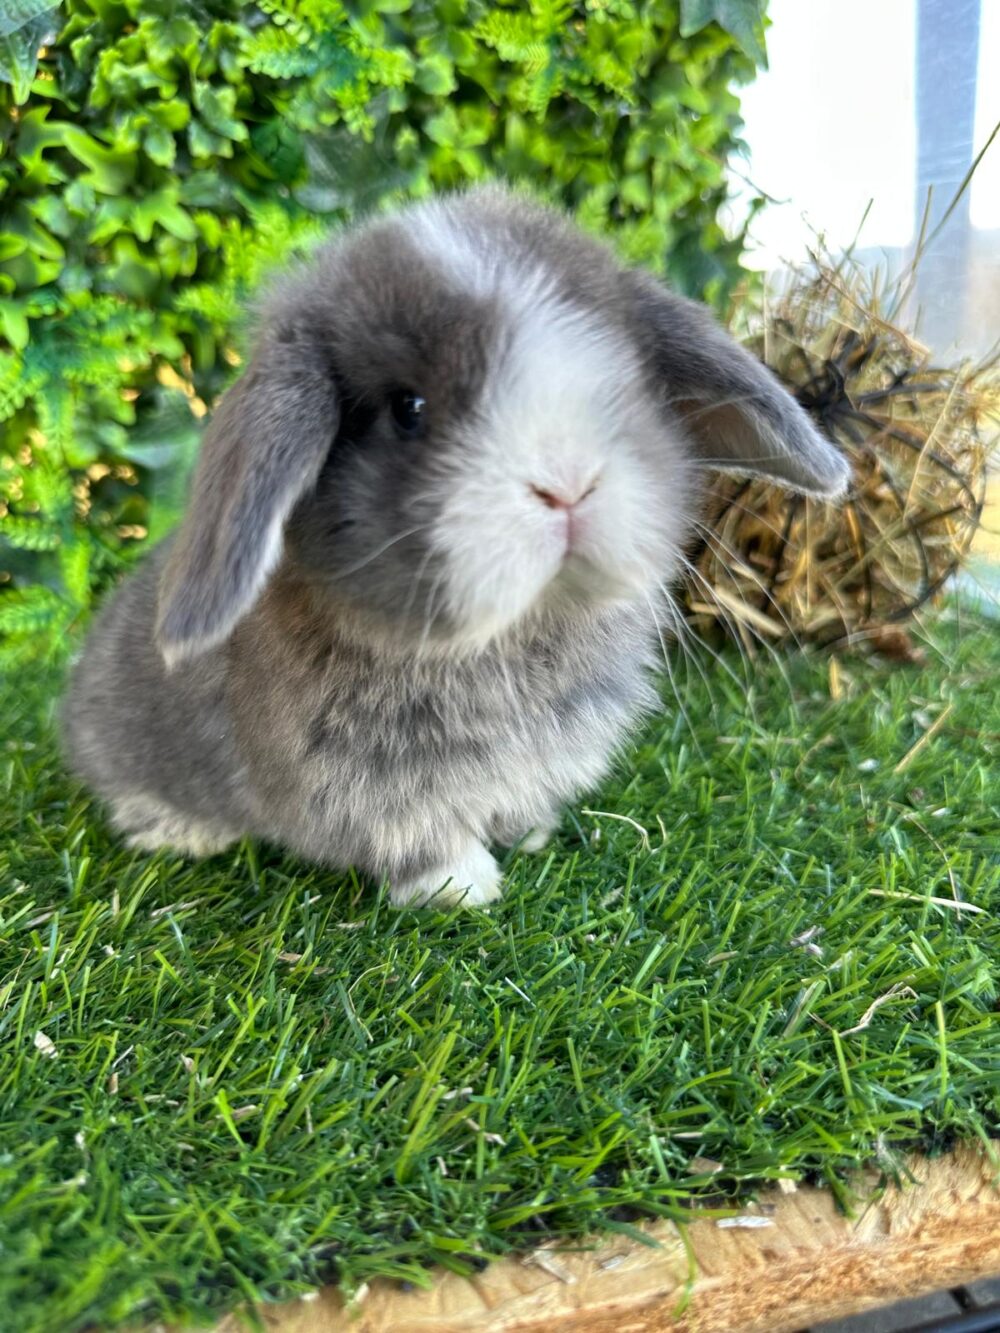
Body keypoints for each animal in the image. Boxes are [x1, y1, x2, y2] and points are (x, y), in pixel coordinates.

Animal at [63, 185, 851, 908]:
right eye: (408, 409)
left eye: (626, 380)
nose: (568, 482)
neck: (510, 637)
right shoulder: (360, 789)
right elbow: (416, 839)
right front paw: (465, 887)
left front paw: (530, 832)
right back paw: (178, 830)